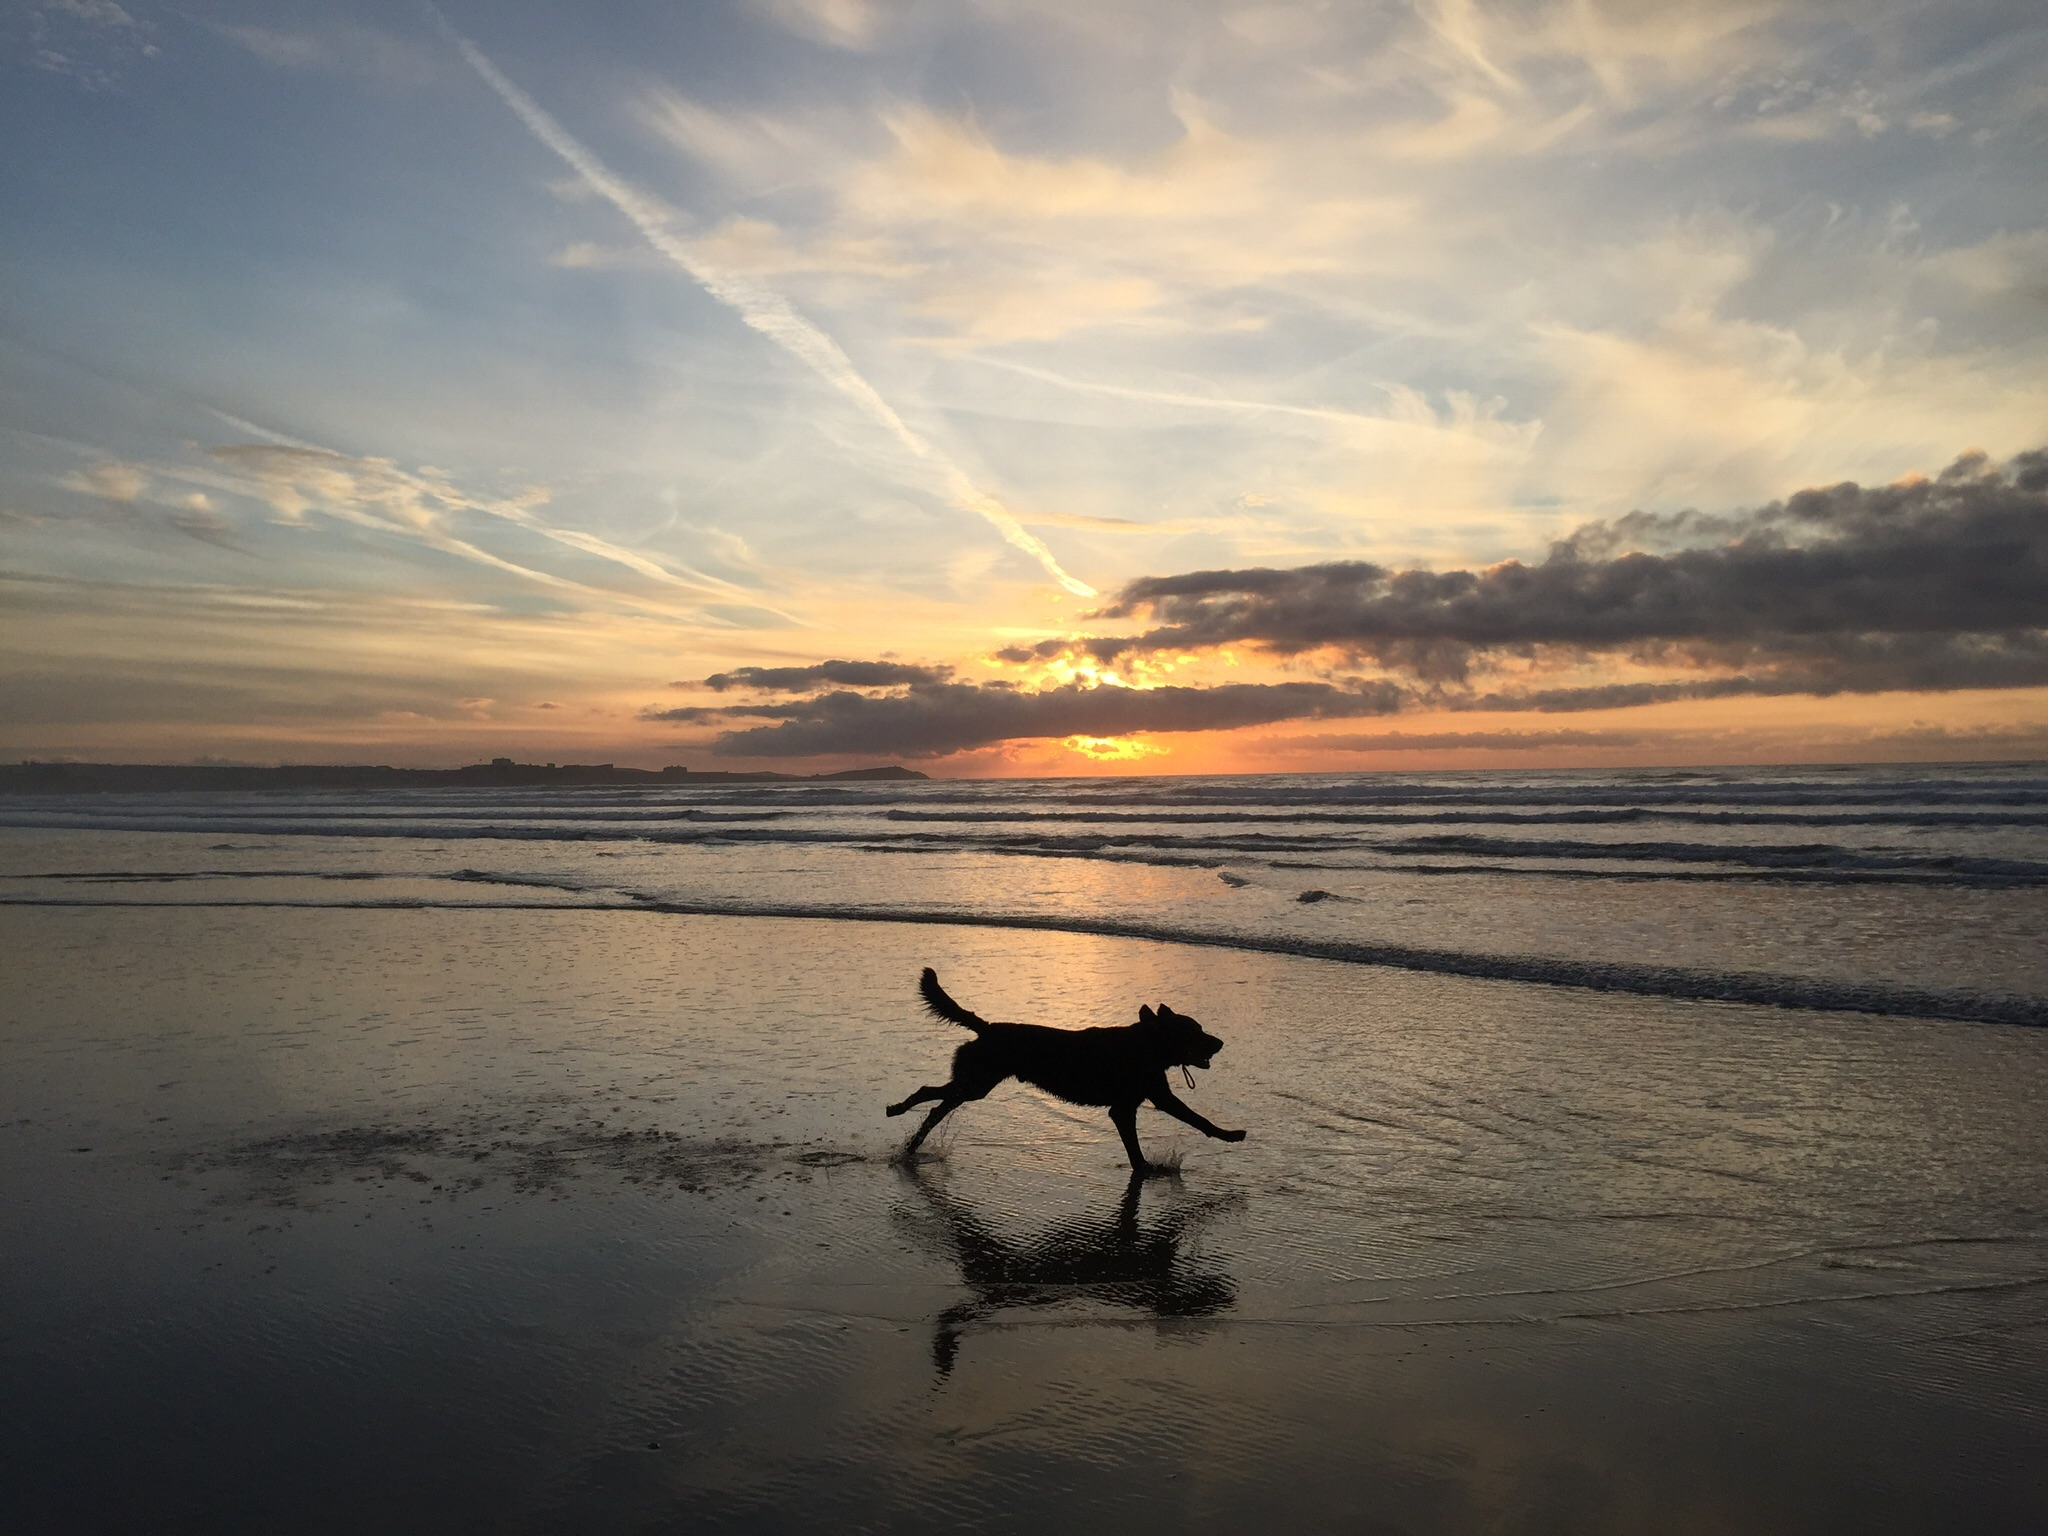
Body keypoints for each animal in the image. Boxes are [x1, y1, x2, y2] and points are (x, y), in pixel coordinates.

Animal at [884, 966, 1245, 1187]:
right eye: (1195, 1031)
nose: (1220, 1043)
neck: (1146, 1045)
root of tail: (987, 1028)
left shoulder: (1149, 1099)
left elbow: (1190, 1122)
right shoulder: (1127, 1108)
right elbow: (1187, 1125)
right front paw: (1228, 1136)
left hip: (974, 1083)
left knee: (933, 1100)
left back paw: (908, 1135)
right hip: (976, 1083)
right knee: (933, 1099)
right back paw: (903, 1121)